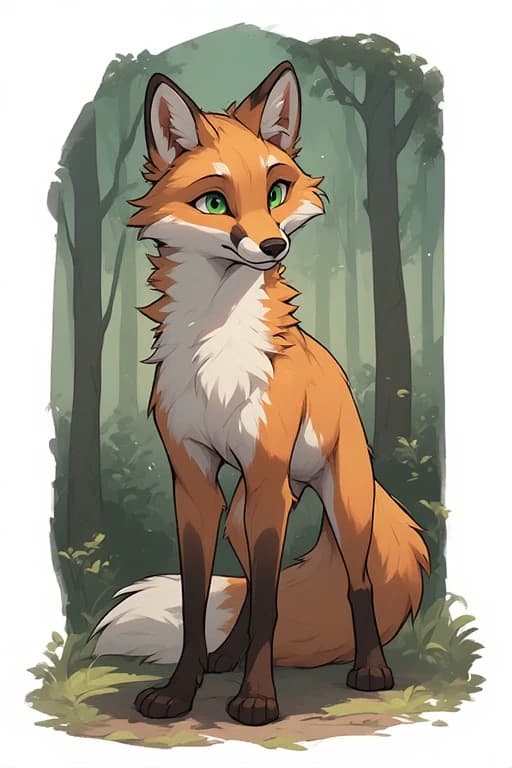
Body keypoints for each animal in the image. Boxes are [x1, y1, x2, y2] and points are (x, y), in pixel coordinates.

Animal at [91, 61, 430, 727]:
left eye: (276, 192)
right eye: (214, 202)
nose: (273, 246)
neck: (219, 351)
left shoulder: (268, 475)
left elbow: (275, 606)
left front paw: (256, 700)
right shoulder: (195, 482)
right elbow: (200, 601)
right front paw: (181, 691)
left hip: (337, 508)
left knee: (355, 586)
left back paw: (370, 669)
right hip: (243, 517)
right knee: (249, 589)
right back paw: (226, 658)